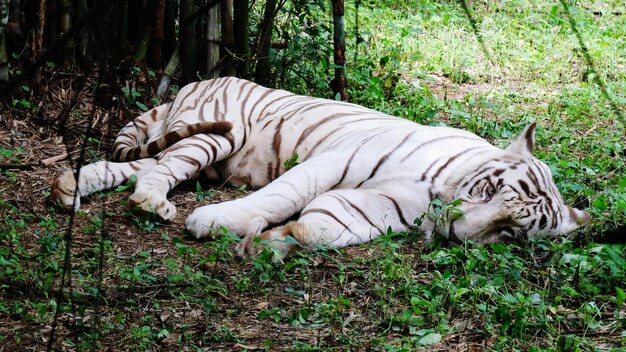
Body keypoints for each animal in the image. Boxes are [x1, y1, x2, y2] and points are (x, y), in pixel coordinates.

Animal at [50, 77, 588, 258]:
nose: (457, 233)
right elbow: (282, 195)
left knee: (136, 166)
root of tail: (194, 80)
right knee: (157, 171)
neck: (438, 191)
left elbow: (325, 225)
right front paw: (215, 222)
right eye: (491, 191)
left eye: (511, 233)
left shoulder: (383, 206)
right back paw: (151, 205)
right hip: (216, 135)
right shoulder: (336, 160)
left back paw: (68, 187)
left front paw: (280, 239)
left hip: (202, 160)